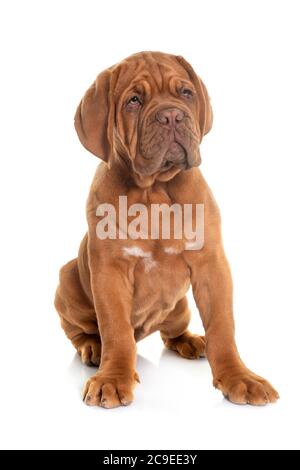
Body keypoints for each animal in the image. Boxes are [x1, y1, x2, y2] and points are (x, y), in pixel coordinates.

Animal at [54, 51, 278, 408]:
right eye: (134, 100)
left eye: (185, 93)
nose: (172, 115)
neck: (155, 190)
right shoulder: (109, 272)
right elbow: (115, 329)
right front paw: (112, 378)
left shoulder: (211, 265)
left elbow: (222, 327)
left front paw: (239, 377)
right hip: (67, 277)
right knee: (86, 331)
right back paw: (93, 347)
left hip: (179, 306)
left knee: (171, 332)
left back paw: (190, 341)